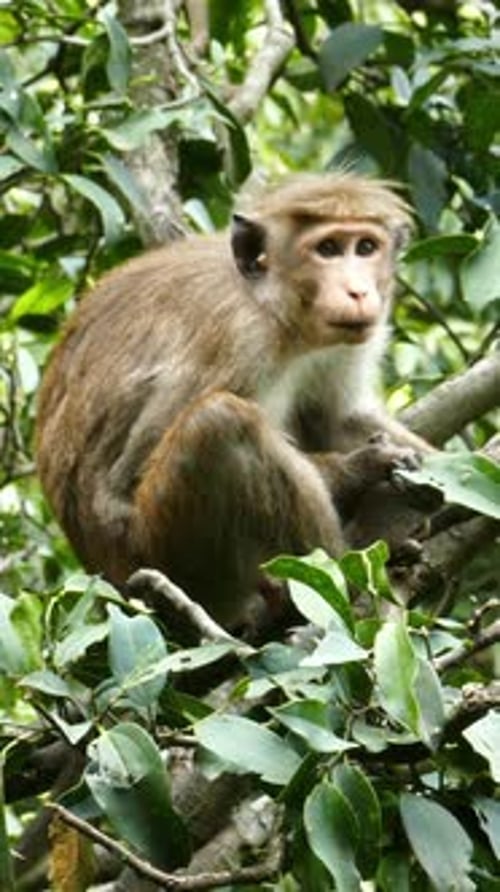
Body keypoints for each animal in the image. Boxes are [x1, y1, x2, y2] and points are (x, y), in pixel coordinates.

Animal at [36, 172, 432, 630]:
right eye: (328, 248)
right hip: (169, 561)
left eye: (366, 247)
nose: (357, 291)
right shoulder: (236, 340)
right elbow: (127, 480)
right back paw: (346, 565)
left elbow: (338, 416)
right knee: (220, 423)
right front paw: (362, 467)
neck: (276, 310)